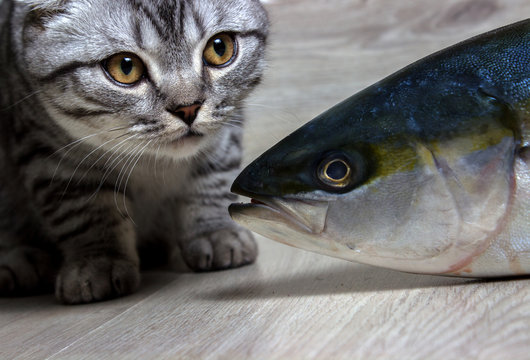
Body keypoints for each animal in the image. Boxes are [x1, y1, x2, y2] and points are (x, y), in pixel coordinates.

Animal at [0, 0, 268, 304]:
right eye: (125, 67)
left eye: (219, 48)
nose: (188, 107)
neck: (153, 163)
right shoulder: (52, 154)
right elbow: (88, 211)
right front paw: (98, 261)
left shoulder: (225, 132)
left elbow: (212, 180)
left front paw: (216, 231)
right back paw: (17, 262)